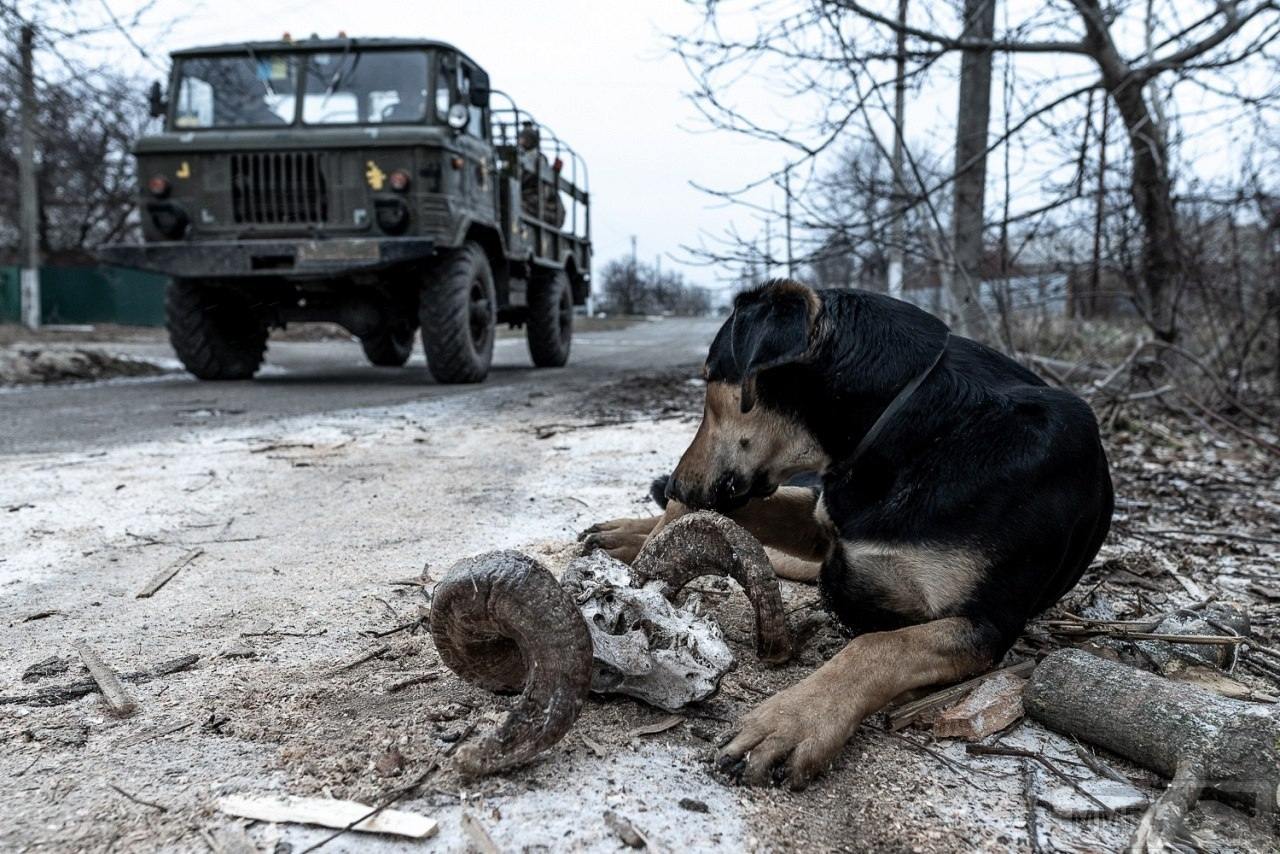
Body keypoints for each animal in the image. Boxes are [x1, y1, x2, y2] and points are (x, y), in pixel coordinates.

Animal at [586, 284, 1116, 793]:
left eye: (709, 378)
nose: (676, 483)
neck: (912, 428)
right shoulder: (821, 520)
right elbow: (734, 513)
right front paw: (639, 547)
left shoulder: (986, 625)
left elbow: (878, 647)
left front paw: (793, 721)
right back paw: (624, 534)